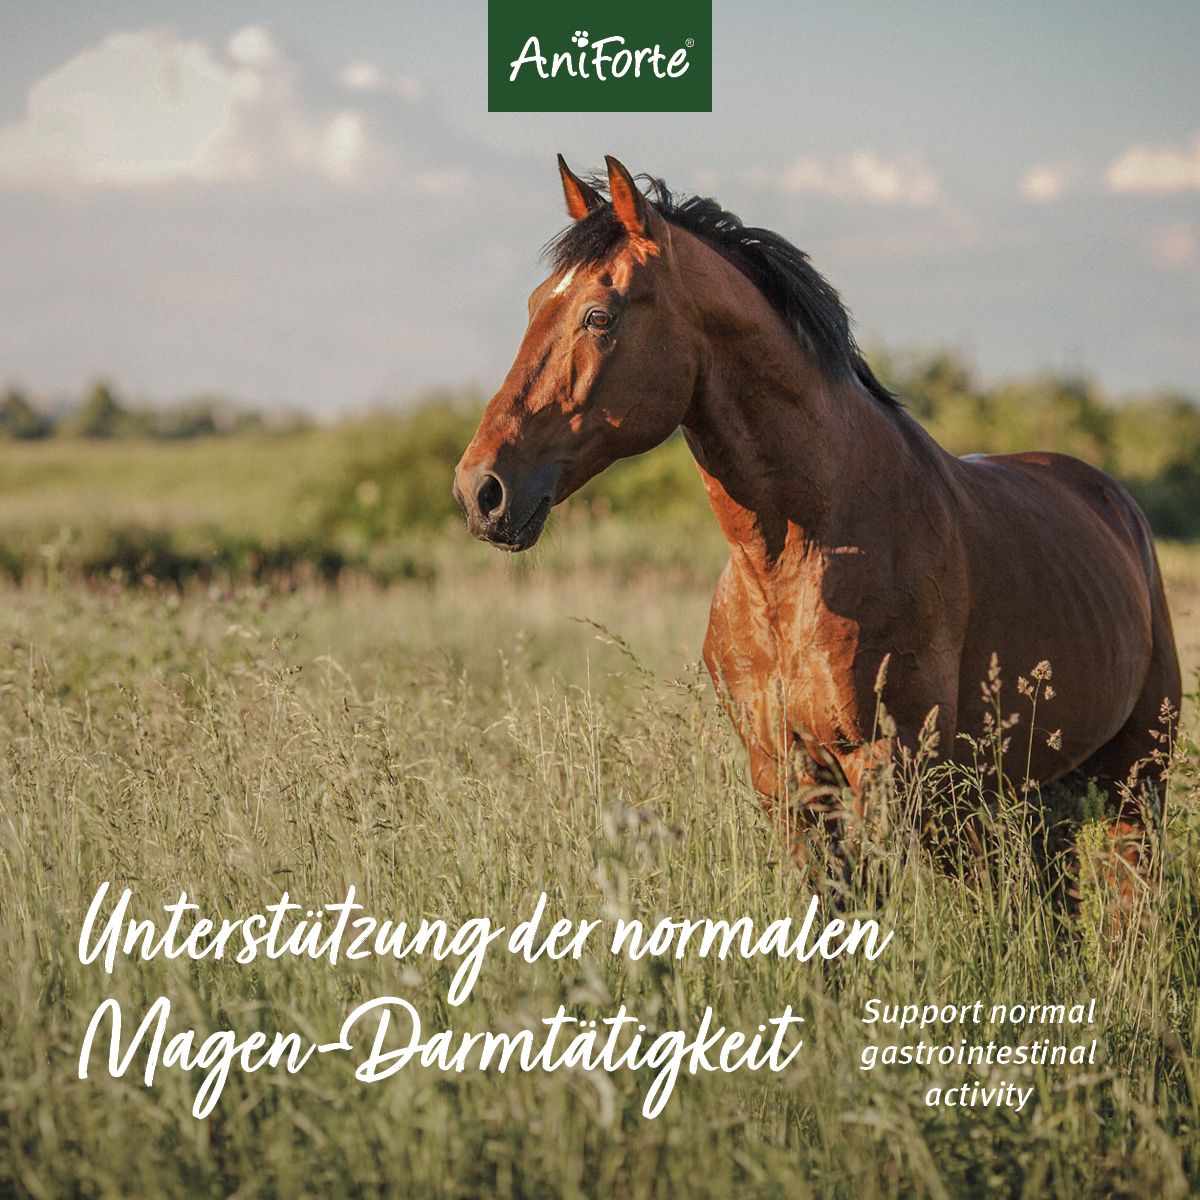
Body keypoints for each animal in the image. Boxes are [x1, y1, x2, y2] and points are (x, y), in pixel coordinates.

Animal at [453, 154, 1181, 872]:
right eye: (535, 304)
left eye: (599, 317)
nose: (480, 490)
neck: (799, 562)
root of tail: (1111, 499)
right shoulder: (784, 775)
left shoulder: (887, 767)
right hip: (1033, 794)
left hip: (1134, 778)